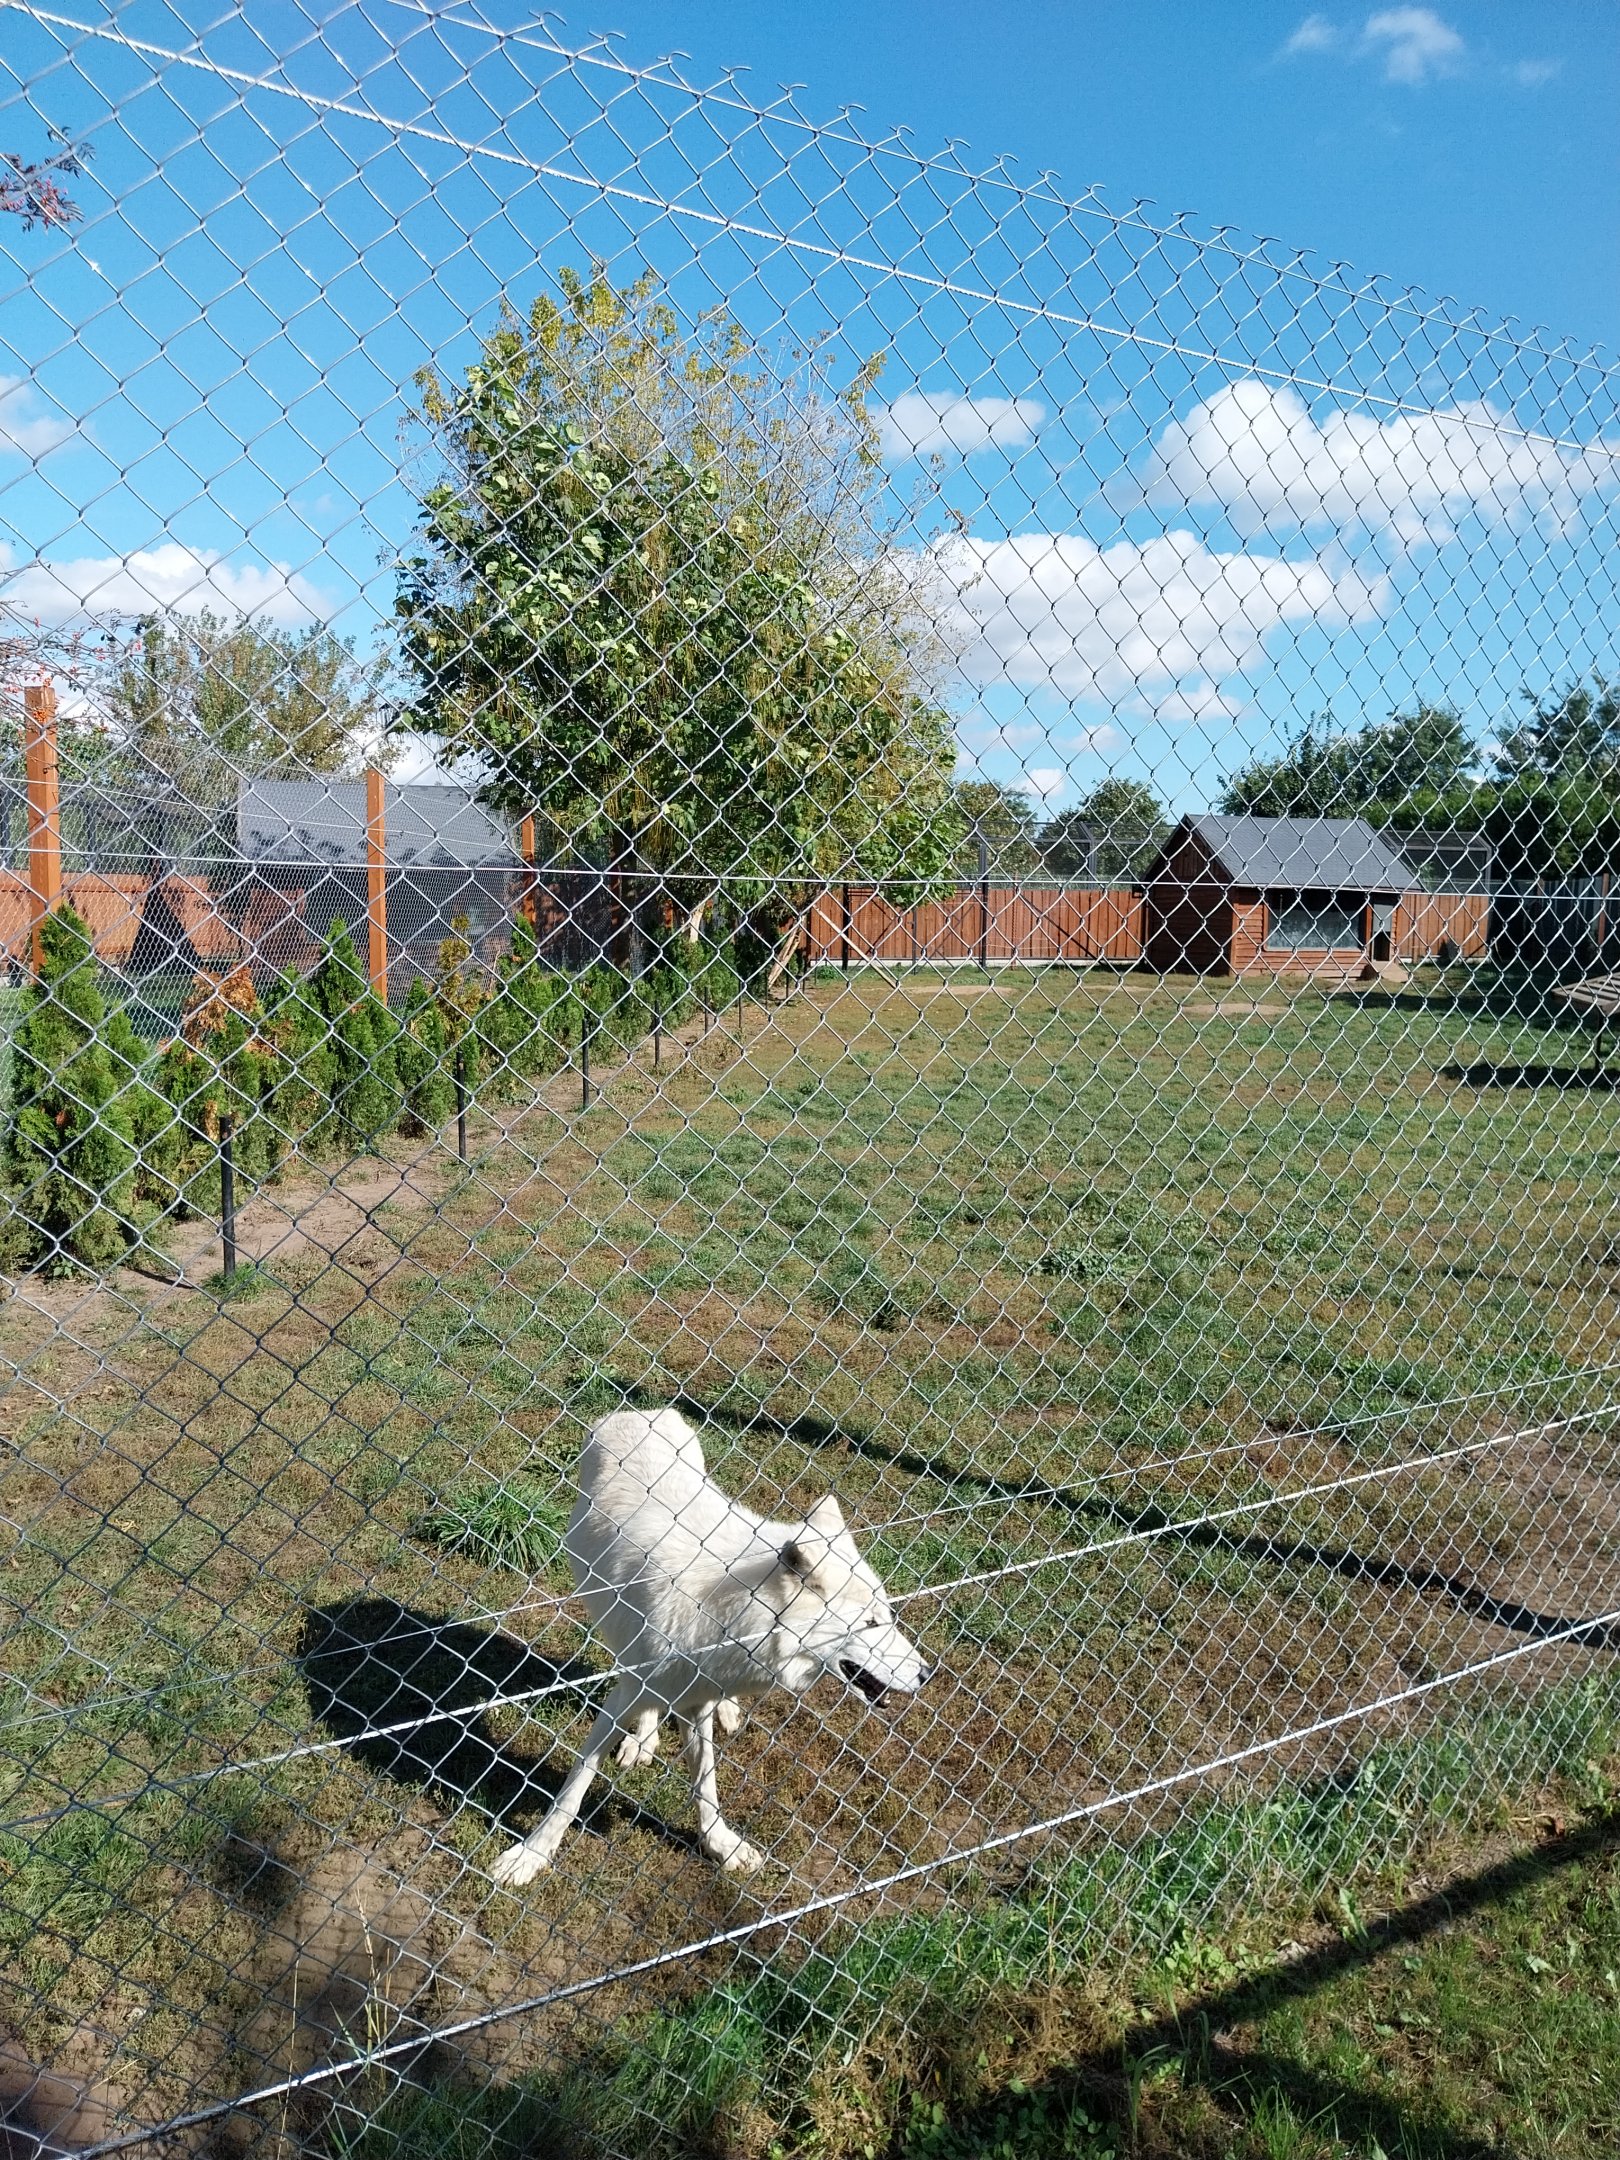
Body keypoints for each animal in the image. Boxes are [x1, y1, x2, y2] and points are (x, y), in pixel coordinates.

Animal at [490, 1406, 929, 1885]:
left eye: (887, 1615)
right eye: (870, 1623)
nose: (927, 1674)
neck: (727, 1619)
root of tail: (641, 1411)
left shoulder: (698, 1700)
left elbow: (706, 1785)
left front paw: (722, 1846)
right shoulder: (626, 1697)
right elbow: (573, 1790)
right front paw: (529, 1856)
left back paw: (724, 1712)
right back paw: (643, 1742)